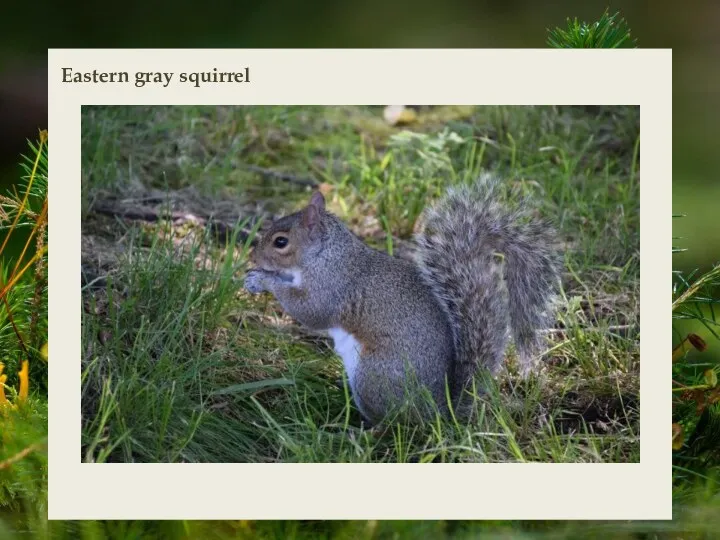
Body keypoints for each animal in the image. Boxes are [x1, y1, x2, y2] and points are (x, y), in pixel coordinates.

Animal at [245, 175, 560, 424]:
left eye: (281, 242)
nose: (253, 255)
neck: (325, 254)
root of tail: (439, 411)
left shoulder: (332, 287)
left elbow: (310, 310)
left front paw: (263, 280)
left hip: (373, 376)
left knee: (395, 423)